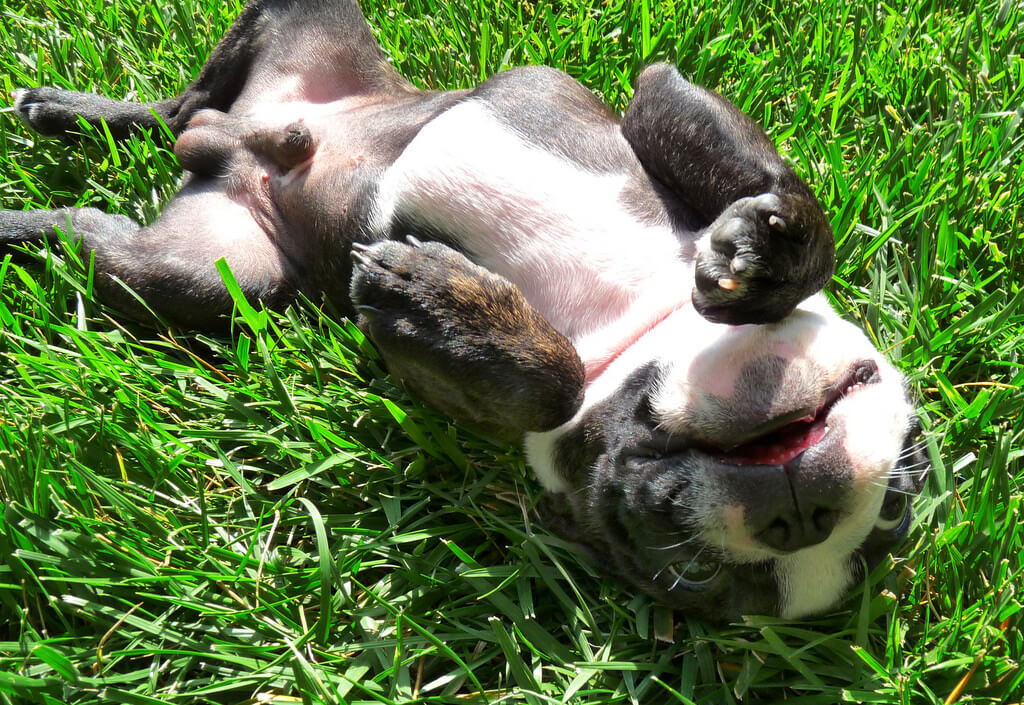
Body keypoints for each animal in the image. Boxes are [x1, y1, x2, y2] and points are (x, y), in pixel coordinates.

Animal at [2, 0, 929, 614]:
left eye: (691, 574)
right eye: (906, 486)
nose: (799, 517)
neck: (627, 334)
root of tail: (231, 153)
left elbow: (545, 383)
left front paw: (443, 306)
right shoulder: (664, 98)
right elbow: (772, 187)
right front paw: (761, 252)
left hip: (208, 279)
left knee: (114, 209)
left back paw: (31, 207)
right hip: (306, 18)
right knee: (181, 106)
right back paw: (67, 111)